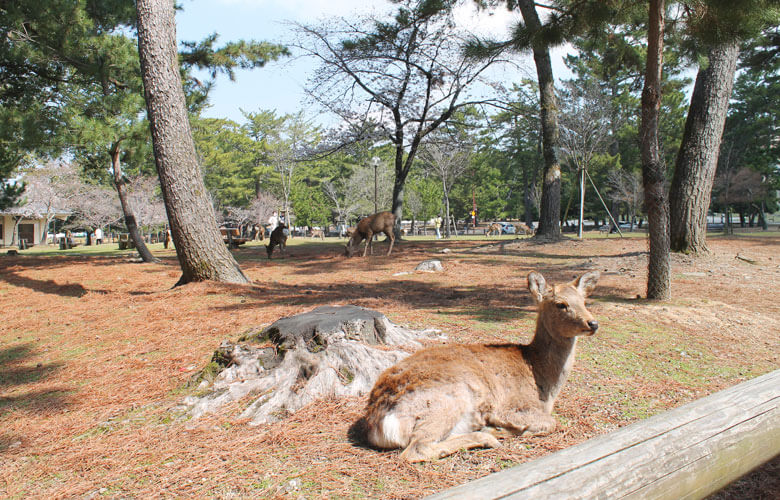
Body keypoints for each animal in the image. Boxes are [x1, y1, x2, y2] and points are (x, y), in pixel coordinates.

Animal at [362, 272, 600, 462]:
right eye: (561, 304)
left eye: (584, 301)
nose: (593, 323)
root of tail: (379, 424)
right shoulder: (511, 407)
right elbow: (551, 423)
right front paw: (512, 429)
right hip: (448, 400)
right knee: (416, 449)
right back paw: (489, 436)